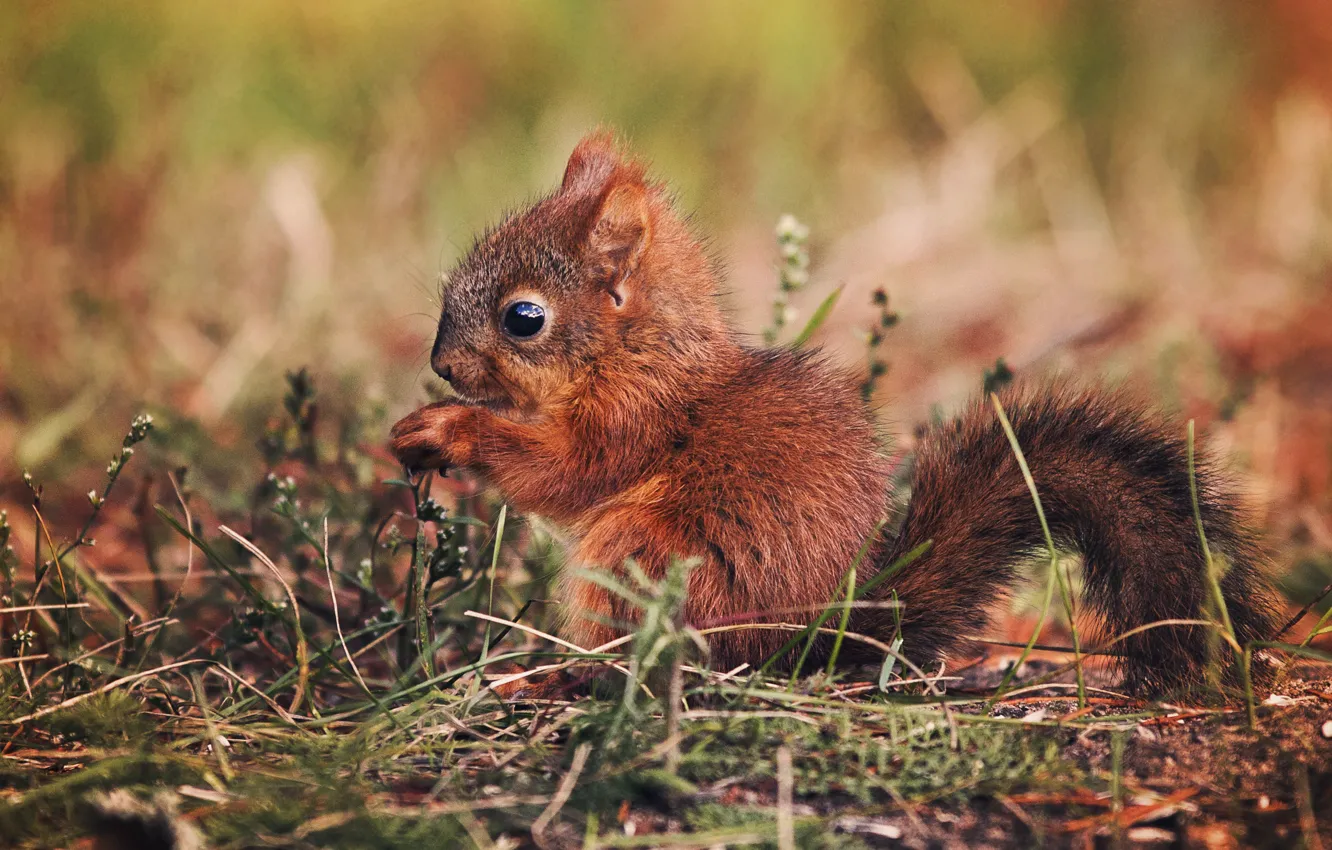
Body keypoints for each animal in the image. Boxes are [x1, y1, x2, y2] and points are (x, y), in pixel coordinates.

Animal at [391, 129, 1278, 698]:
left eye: (524, 318)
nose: (441, 367)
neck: (639, 352)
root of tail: (818, 636)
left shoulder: (630, 421)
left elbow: (562, 471)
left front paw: (446, 430)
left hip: (640, 554)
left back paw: (568, 675)